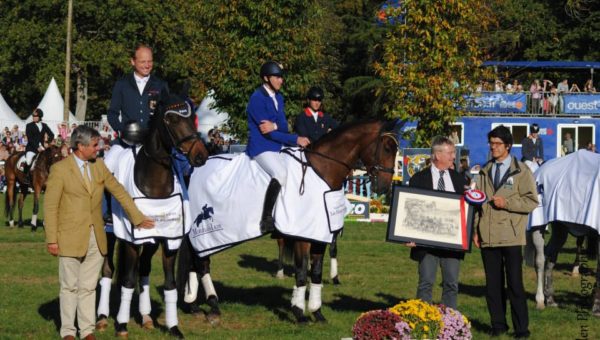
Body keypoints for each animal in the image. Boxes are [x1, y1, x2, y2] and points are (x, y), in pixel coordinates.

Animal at [107, 93, 209, 340]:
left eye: (192, 116)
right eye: (171, 119)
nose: (200, 155)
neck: (155, 184)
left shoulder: (170, 241)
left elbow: (170, 285)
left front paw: (173, 327)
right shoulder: (132, 241)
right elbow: (127, 280)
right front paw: (121, 325)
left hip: (152, 241)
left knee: (143, 269)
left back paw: (145, 318)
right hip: (109, 234)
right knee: (109, 270)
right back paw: (103, 318)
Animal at [178, 120, 398, 324]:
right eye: (387, 148)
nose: (384, 186)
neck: (321, 170)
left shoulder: (320, 236)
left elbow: (316, 274)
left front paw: (317, 313)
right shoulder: (302, 237)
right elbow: (301, 274)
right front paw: (299, 313)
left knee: (194, 263)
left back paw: (194, 305)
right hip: (204, 235)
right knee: (202, 264)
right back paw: (213, 305)